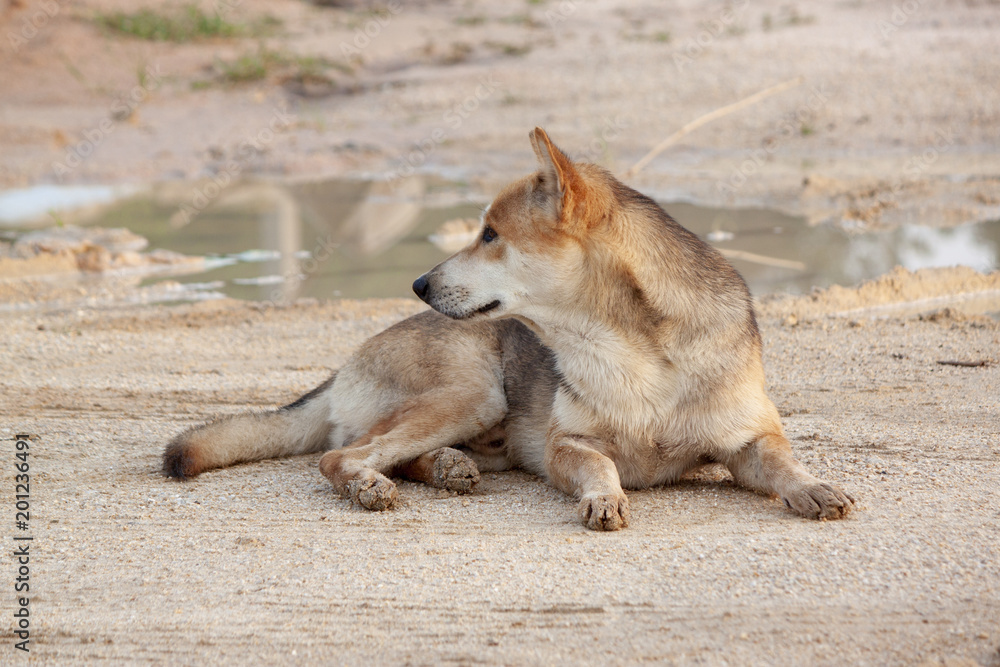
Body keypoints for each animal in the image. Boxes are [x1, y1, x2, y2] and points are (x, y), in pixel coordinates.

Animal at [162, 128, 852, 528]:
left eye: (491, 234)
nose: (418, 283)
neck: (640, 352)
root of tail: (341, 369)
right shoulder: (567, 446)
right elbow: (599, 468)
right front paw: (604, 497)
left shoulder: (750, 441)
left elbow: (785, 465)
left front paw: (813, 488)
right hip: (474, 392)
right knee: (341, 456)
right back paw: (372, 486)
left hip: (479, 418)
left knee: (391, 453)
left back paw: (445, 468)